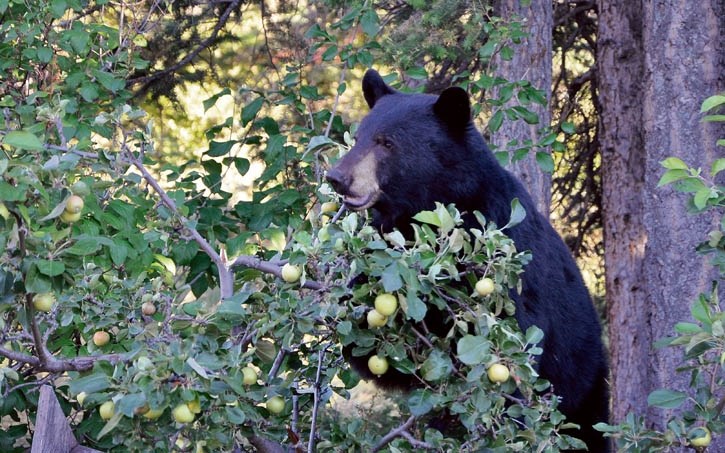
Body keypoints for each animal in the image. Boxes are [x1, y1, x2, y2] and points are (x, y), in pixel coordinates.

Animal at [326, 69, 608, 450]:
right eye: (358, 138)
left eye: (386, 143)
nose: (338, 177)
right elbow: (377, 354)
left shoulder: (502, 255)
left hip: (583, 384)